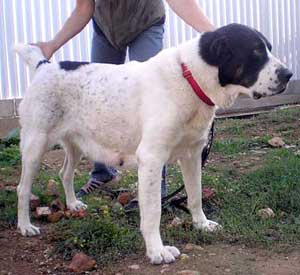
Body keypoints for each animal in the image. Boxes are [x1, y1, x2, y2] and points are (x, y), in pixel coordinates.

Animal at [15, 24, 292, 266]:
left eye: (267, 48)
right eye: (255, 52)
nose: (289, 75)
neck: (190, 79)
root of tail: (44, 66)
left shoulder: (192, 155)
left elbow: (195, 196)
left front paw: (201, 224)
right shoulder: (151, 159)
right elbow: (152, 212)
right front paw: (157, 250)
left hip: (76, 145)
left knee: (65, 173)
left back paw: (73, 204)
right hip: (35, 145)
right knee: (22, 188)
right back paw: (25, 226)